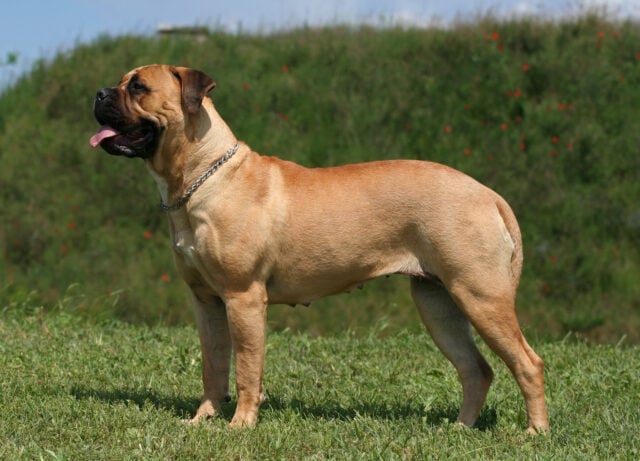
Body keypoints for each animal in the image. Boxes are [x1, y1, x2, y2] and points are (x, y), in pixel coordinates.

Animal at [90, 63, 552, 432]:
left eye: (138, 87)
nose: (98, 93)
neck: (203, 175)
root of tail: (487, 194)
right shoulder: (206, 301)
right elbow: (213, 364)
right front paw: (202, 419)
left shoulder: (243, 298)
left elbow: (246, 369)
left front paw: (240, 425)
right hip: (438, 303)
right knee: (476, 370)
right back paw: (460, 428)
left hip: (480, 295)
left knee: (527, 363)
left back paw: (534, 432)